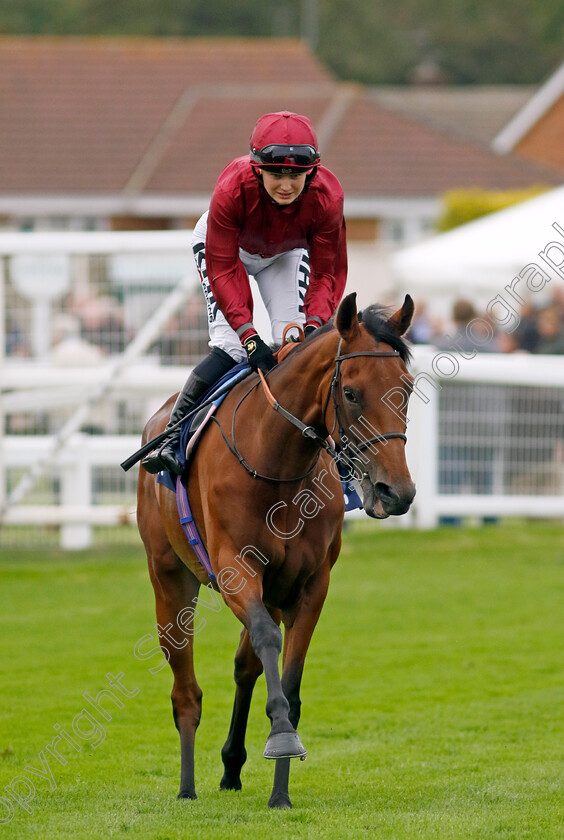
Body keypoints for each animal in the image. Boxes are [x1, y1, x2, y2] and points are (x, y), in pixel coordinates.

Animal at [138, 294, 414, 808]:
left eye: (405, 388)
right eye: (350, 393)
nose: (397, 492)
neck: (279, 463)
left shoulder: (309, 585)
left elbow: (289, 678)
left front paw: (280, 790)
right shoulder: (234, 569)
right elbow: (268, 641)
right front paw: (281, 738)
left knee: (244, 666)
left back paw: (231, 766)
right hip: (169, 577)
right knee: (186, 689)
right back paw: (187, 787)